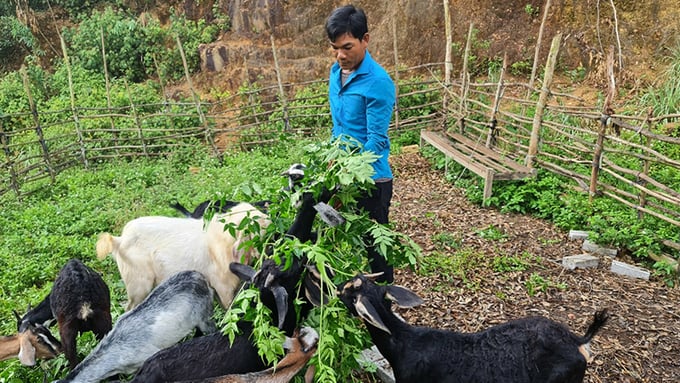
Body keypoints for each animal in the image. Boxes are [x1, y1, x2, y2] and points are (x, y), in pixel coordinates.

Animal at [96, 202, 270, 310]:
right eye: (256, 221)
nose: (270, 219)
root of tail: (119, 240)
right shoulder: (223, 286)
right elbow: (229, 306)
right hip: (138, 284)